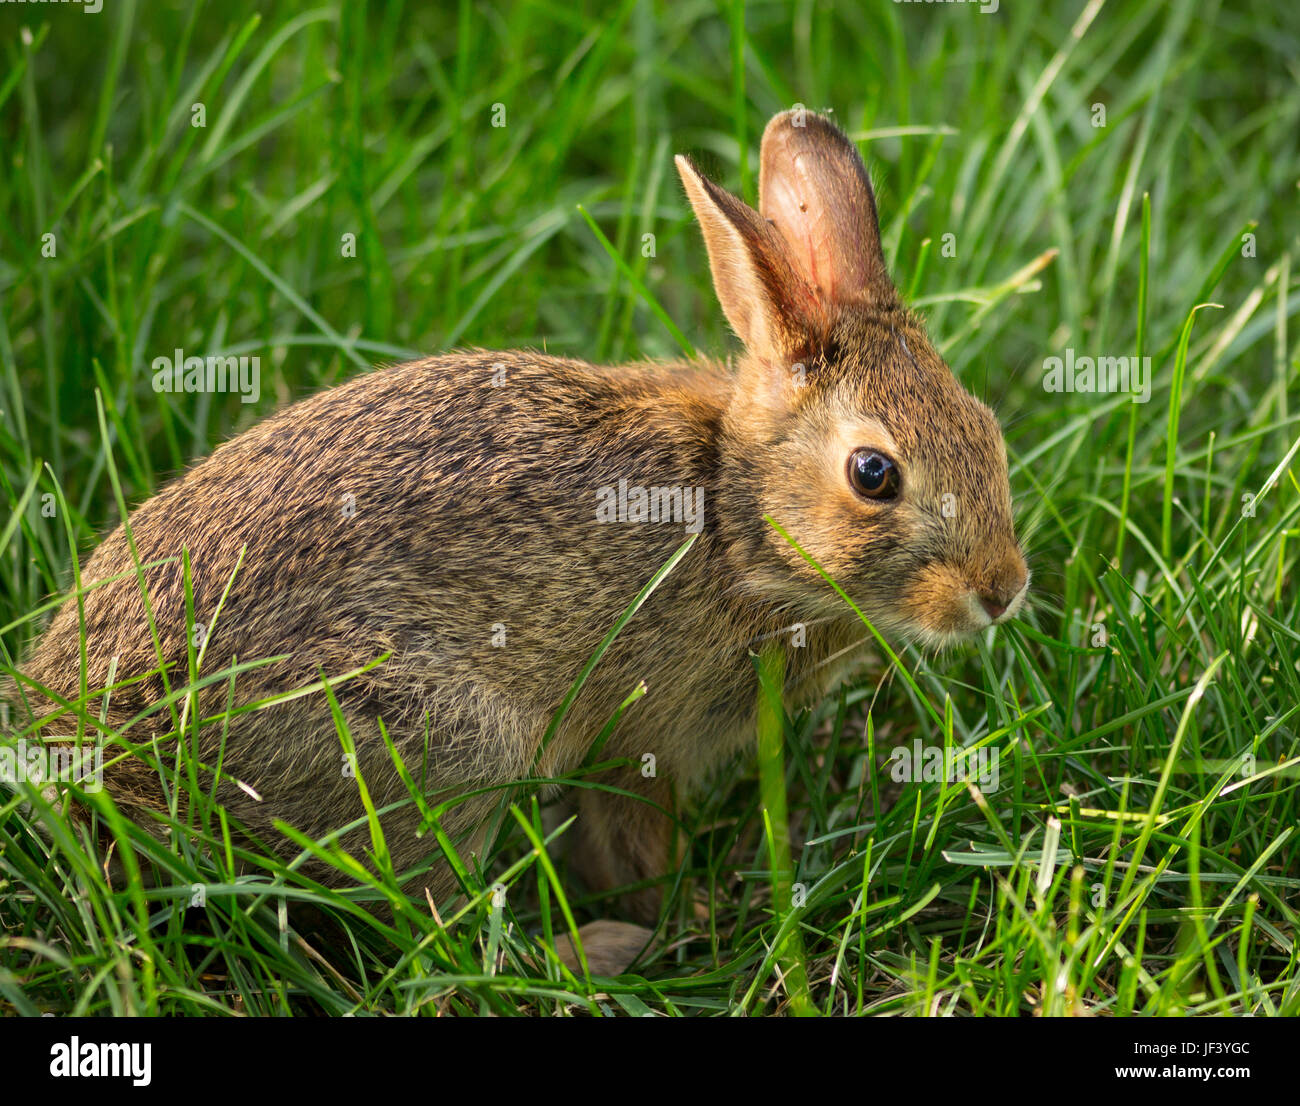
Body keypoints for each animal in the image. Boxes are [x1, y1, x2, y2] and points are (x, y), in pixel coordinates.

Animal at [6, 110, 1028, 972]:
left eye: (987, 426)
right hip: (441, 739)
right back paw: (592, 954)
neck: (737, 521)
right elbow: (631, 843)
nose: (1003, 589)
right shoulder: (642, 730)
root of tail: (92, 757)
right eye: (873, 474)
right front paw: (680, 917)